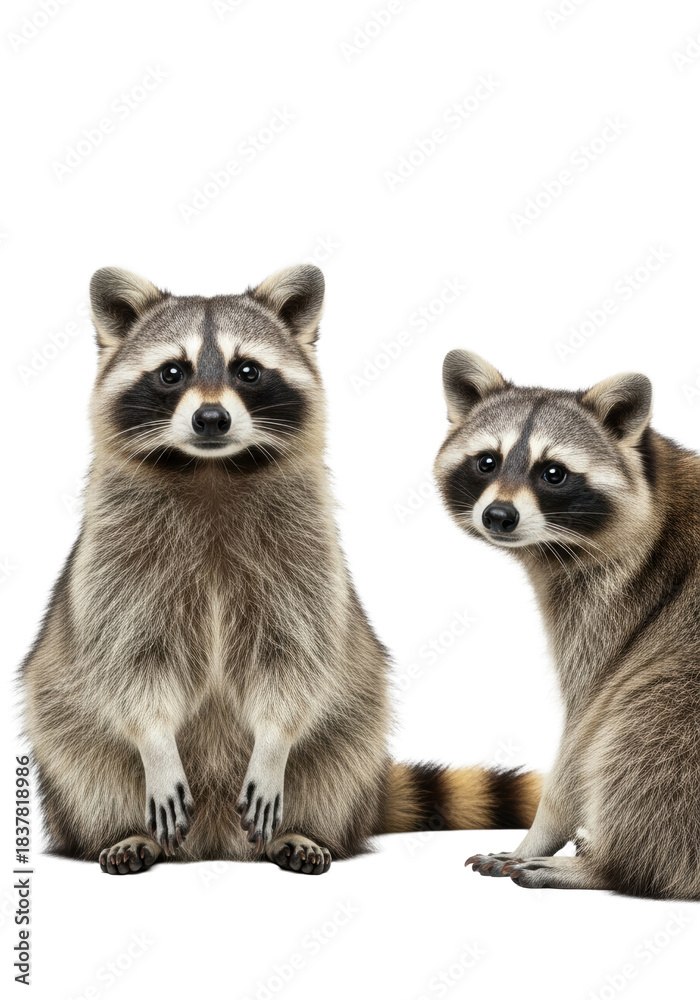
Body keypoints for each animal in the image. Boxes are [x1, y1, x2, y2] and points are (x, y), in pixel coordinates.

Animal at [22, 269, 541, 876]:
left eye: (248, 370)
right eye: (172, 372)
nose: (211, 418)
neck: (211, 469)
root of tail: (214, 844)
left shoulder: (304, 558)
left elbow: (294, 661)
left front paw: (273, 744)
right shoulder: (117, 562)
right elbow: (130, 660)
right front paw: (155, 744)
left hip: (352, 738)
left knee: (335, 759)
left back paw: (298, 832)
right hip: (66, 735)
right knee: (85, 767)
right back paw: (128, 833)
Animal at [434, 349, 700, 899]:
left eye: (552, 473)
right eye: (487, 461)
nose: (498, 515)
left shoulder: (618, 604)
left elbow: (587, 724)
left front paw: (538, 833)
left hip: (685, 691)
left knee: (638, 728)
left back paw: (612, 867)